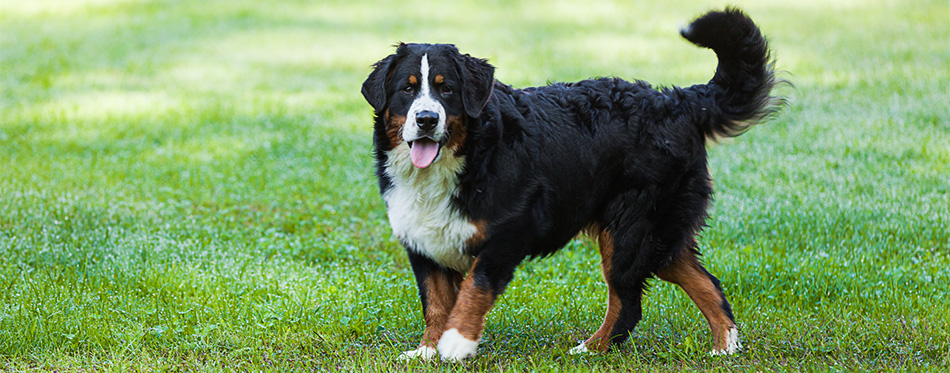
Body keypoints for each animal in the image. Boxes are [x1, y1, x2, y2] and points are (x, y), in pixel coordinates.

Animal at [360, 6, 784, 360]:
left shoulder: (508, 233)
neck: (464, 159)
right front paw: (428, 350)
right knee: (706, 283)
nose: (427, 119)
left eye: (445, 88)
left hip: (631, 230)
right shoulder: (425, 244)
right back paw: (725, 348)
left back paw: (591, 348)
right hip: (658, 237)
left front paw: (457, 342)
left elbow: (472, 291)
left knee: (627, 302)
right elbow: (436, 303)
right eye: (407, 89)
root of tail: (677, 101)